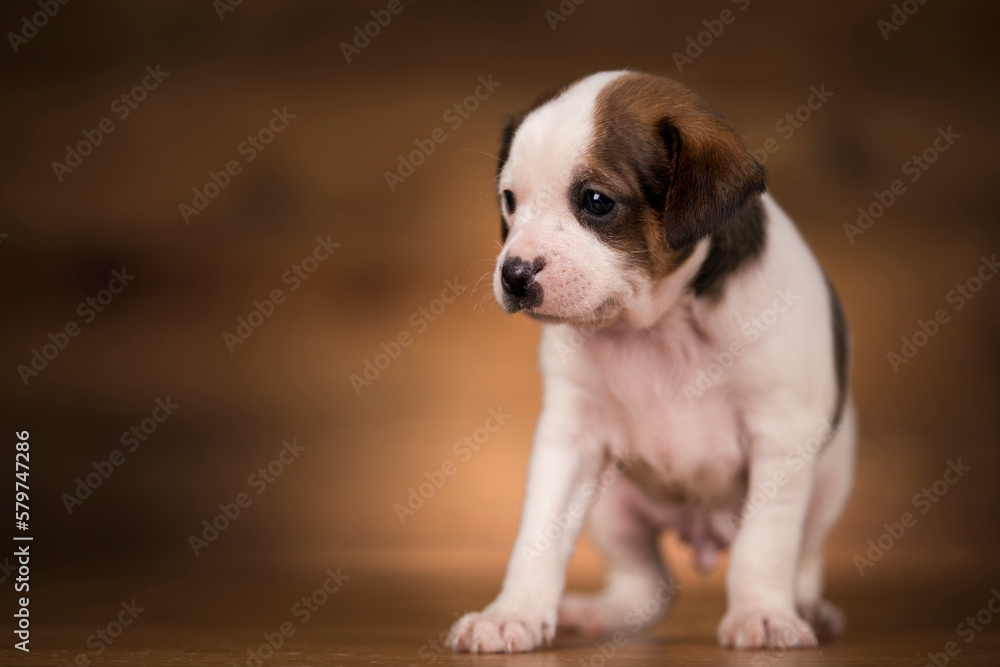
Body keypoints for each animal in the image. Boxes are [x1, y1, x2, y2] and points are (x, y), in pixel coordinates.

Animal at [450, 72, 856, 652]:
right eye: (509, 201)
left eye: (596, 201)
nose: (514, 273)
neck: (659, 326)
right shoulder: (569, 441)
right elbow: (538, 535)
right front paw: (513, 613)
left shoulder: (780, 438)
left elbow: (765, 545)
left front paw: (761, 612)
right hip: (614, 507)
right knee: (647, 582)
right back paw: (608, 610)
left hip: (827, 484)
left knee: (803, 557)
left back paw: (806, 607)